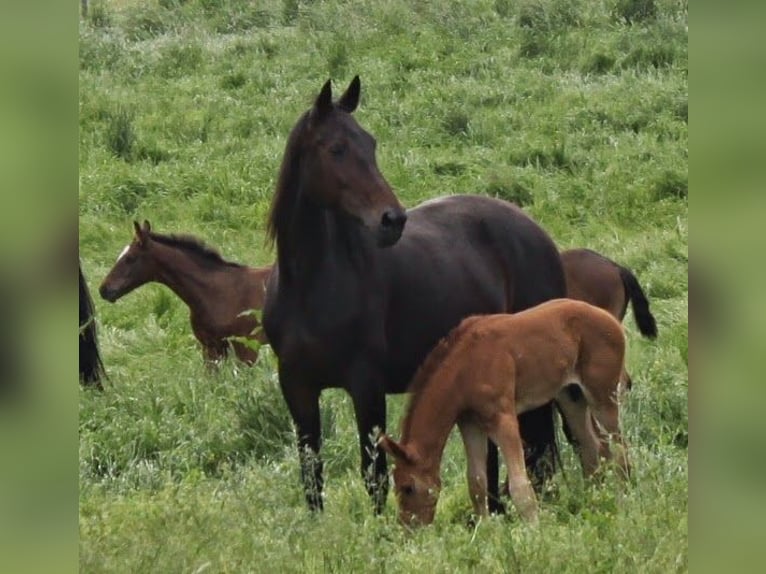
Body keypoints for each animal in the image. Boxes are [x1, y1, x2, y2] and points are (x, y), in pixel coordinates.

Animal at [264, 76, 568, 512]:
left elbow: (372, 474)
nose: (392, 220)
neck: (310, 286)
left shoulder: (366, 386)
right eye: (336, 148)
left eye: (370, 143)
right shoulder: (297, 388)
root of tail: (537, 234)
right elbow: (312, 475)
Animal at [380, 300, 632, 528]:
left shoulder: (504, 419)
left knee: (620, 450)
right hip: (571, 397)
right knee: (591, 450)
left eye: (408, 488)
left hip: (603, 397)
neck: (465, 367)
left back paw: (622, 504)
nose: (409, 529)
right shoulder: (470, 423)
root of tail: (611, 319)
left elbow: (519, 486)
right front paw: (486, 532)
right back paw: (594, 502)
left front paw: (533, 533)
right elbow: (476, 483)